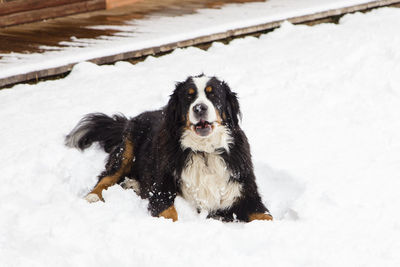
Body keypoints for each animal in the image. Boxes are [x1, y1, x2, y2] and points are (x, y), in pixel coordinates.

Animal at [66, 74, 272, 223]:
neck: (204, 153)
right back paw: (93, 197)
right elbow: (169, 214)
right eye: (189, 96)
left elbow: (265, 217)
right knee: (106, 177)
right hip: (126, 151)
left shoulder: (245, 194)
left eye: (213, 95)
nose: (199, 108)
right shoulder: (161, 191)